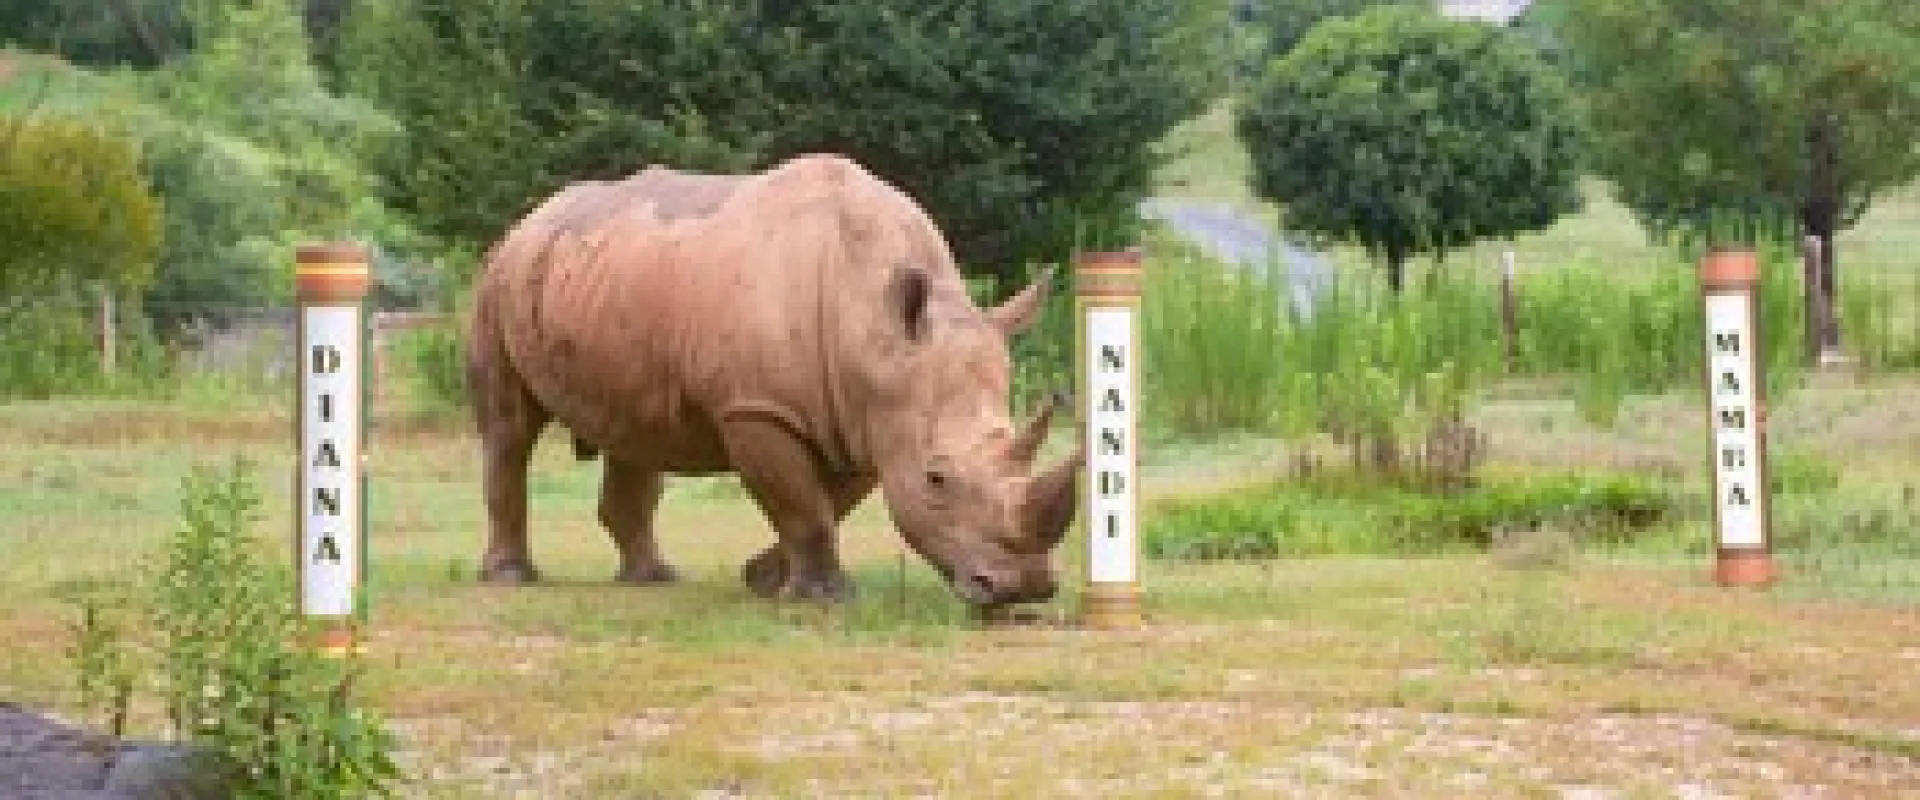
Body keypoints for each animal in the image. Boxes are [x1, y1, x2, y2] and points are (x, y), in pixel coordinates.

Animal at [466, 153, 1083, 607]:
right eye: (937, 479)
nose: (1023, 589)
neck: (871, 331)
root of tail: (528, 219)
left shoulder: (865, 417)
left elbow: (827, 502)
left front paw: (763, 579)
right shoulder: (757, 408)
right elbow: (804, 505)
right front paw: (824, 599)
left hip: (604, 276)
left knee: (633, 431)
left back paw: (655, 578)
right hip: (497, 280)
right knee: (509, 430)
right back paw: (512, 578)